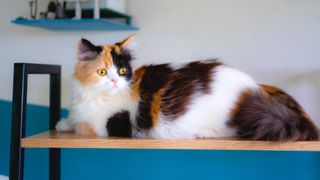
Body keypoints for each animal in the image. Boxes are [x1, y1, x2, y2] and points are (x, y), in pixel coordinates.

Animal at [56, 35, 318, 141]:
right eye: (102, 72)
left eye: (122, 71)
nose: (114, 81)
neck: (92, 97)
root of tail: (256, 88)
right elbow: (73, 119)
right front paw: (62, 123)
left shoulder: (111, 125)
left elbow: (83, 126)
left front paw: (69, 124)